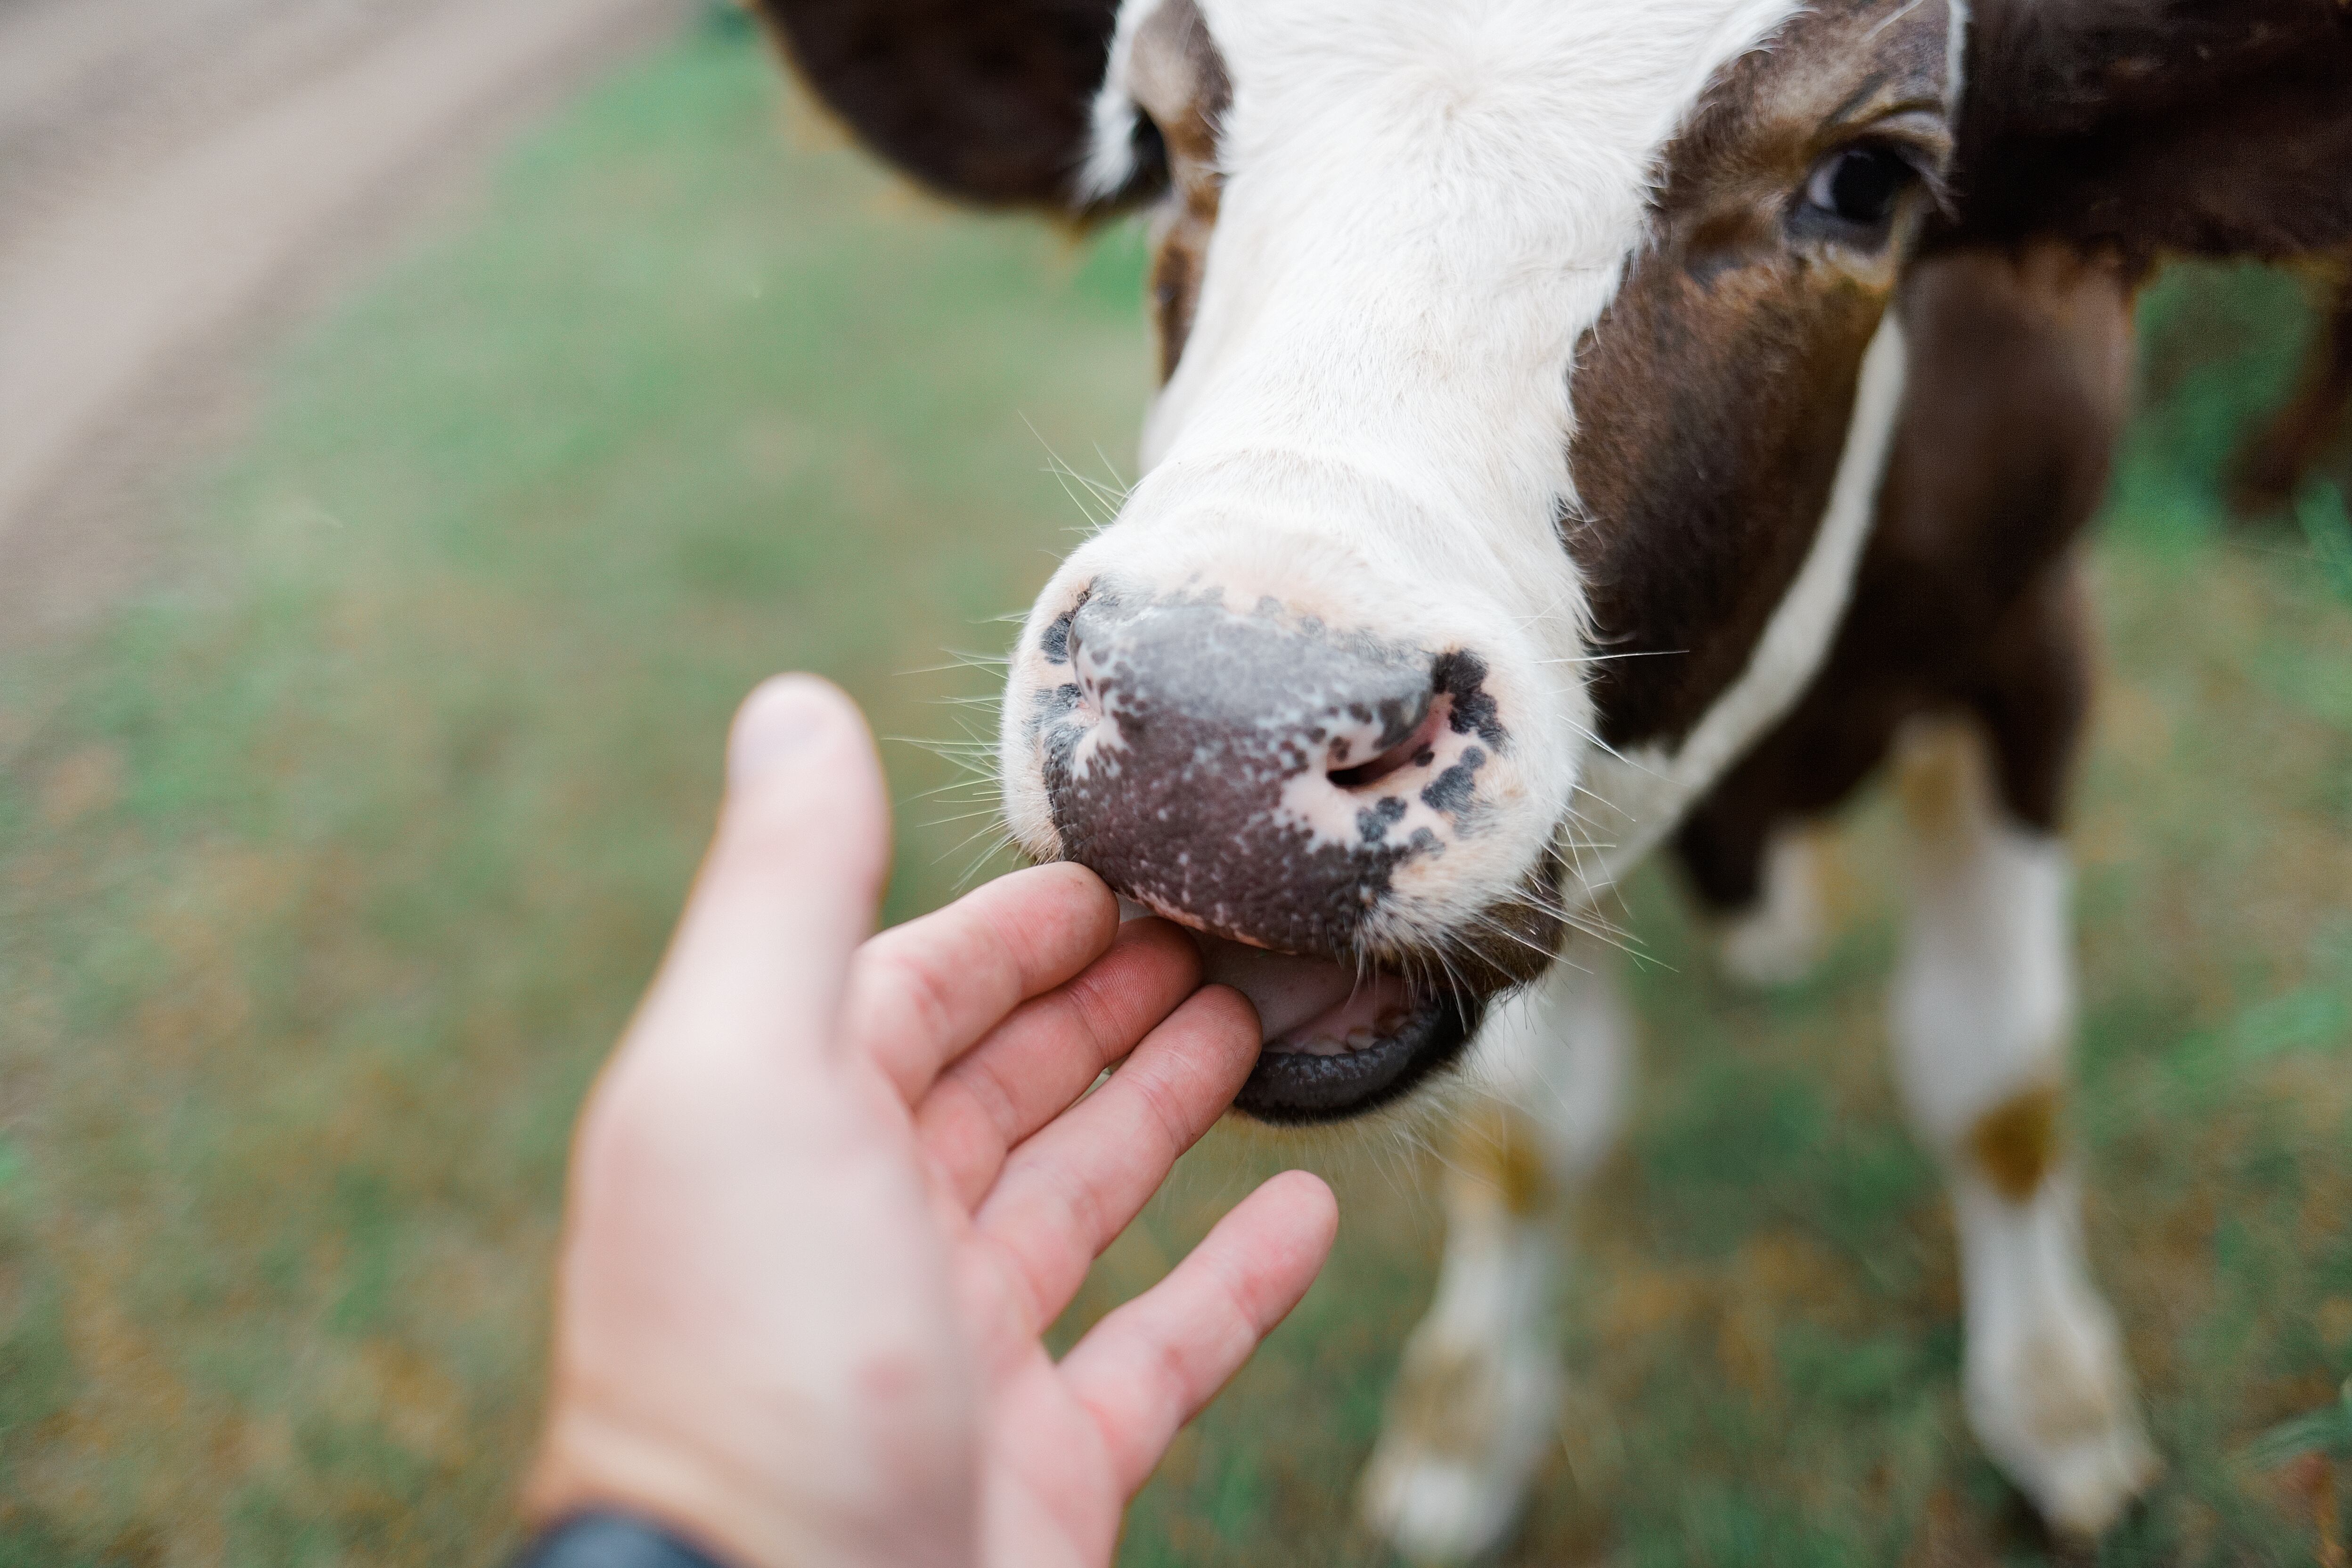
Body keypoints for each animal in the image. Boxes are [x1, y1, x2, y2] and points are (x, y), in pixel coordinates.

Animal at [745, 0, 2352, 1557]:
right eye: (1150, 134)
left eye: (1865, 180)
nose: (1215, 735)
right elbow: (1529, 1134)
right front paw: (1467, 1424)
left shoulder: (2030, 642)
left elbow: (1998, 1075)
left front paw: (2054, 1400)